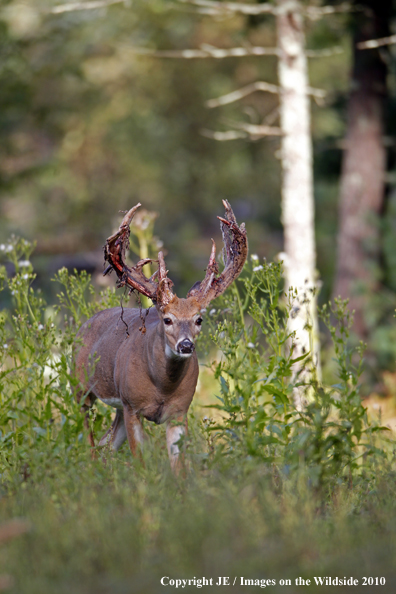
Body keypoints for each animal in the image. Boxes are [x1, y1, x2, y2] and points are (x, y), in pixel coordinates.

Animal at [74, 201, 248, 470]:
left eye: (199, 319)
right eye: (167, 319)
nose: (186, 345)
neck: (162, 387)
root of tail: (85, 323)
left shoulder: (179, 411)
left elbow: (179, 467)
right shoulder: (132, 406)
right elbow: (141, 463)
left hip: (117, 407)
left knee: (107, 446)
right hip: (82, 387)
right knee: (90, 442)